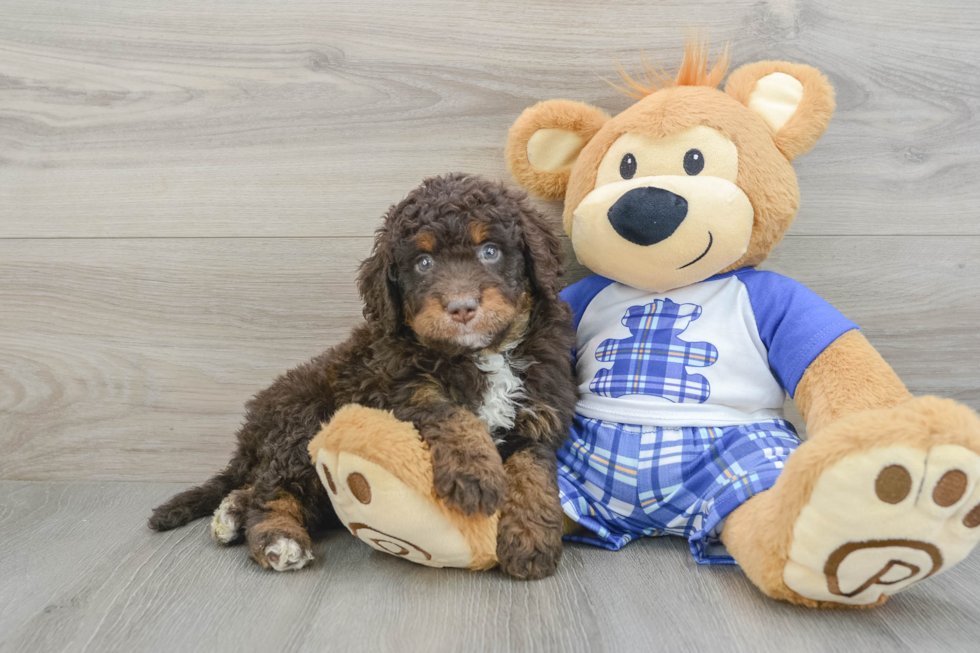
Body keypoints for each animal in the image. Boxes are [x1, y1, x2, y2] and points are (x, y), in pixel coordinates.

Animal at [148, 174, 580, 580]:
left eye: (490, 251)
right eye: (423, 263)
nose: (461, 308)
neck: (483, 355)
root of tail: (252, 430)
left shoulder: (541, 407)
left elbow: (533, 467)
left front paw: (530, 538)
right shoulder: (395, 387)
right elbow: (450, 412)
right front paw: (475, 474)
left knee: (259, 486)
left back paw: (233, 512)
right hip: (304, 420)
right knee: (273, 490)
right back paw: (277, 539)